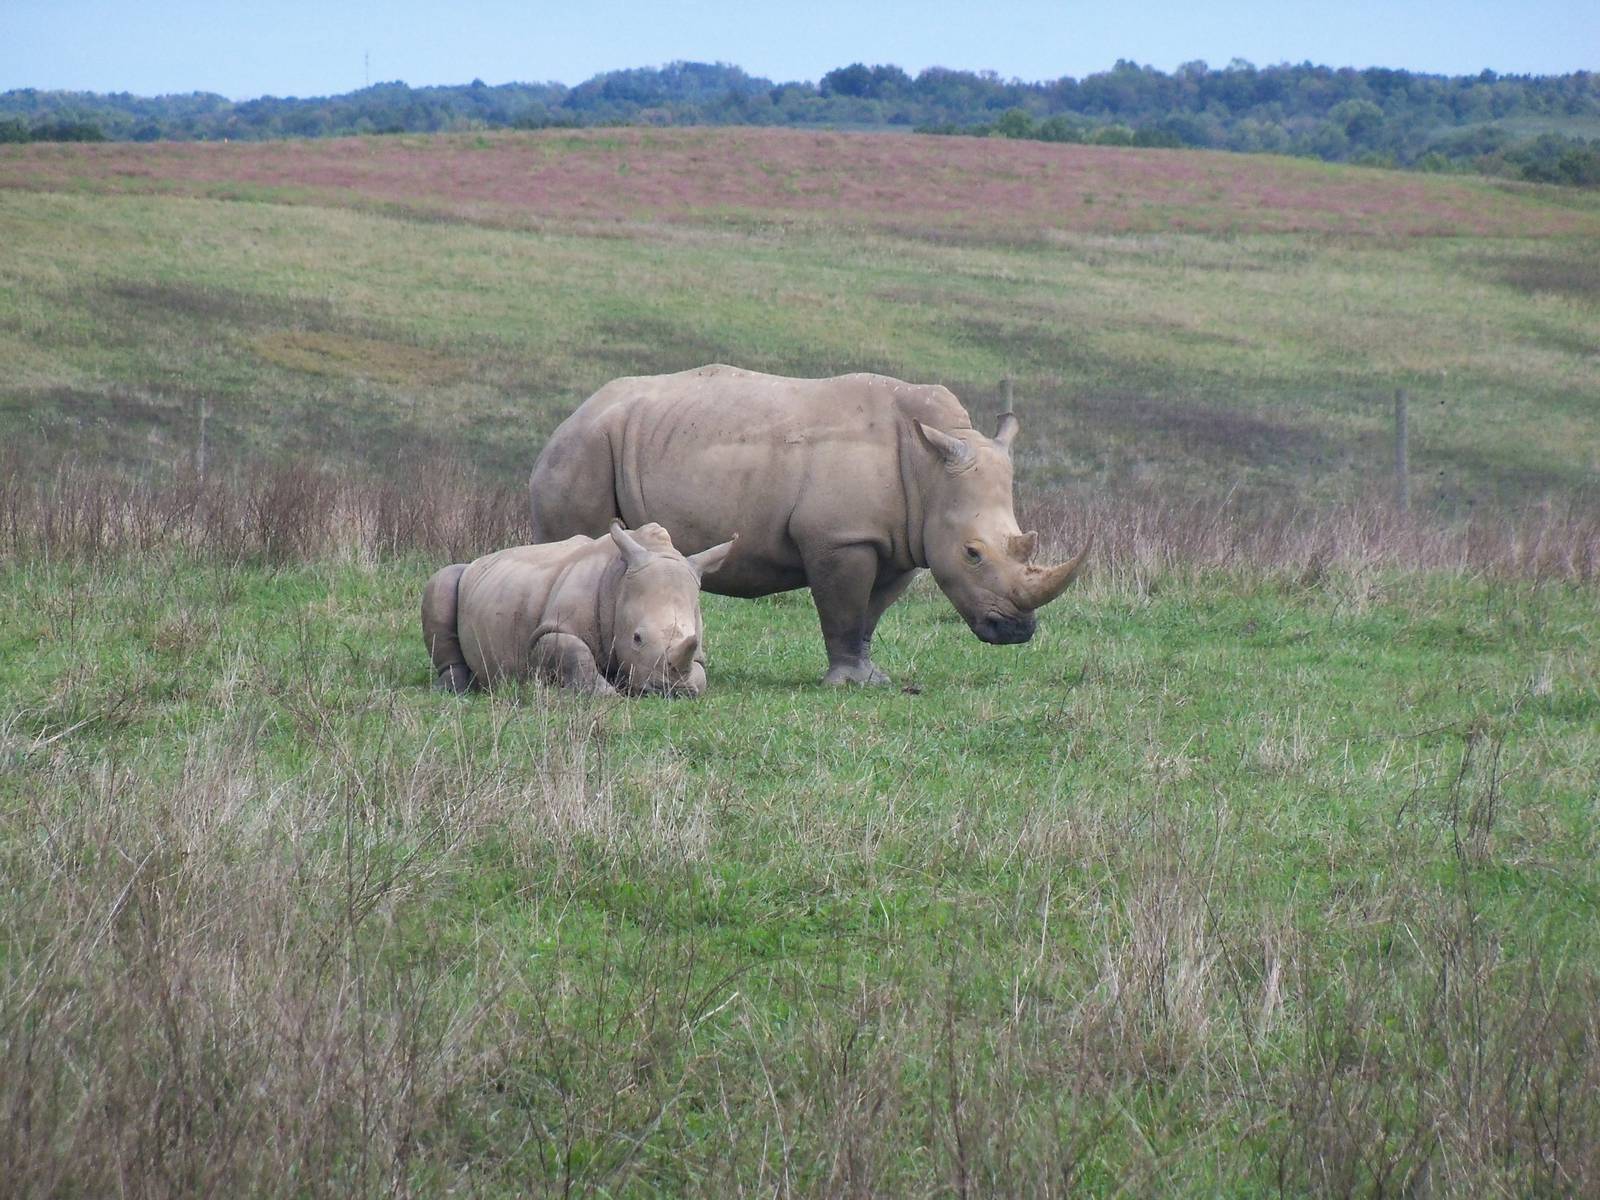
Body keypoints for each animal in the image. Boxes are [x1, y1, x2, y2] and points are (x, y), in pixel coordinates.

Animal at [421, 521, 736, 696]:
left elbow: (700, 674)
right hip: (460, 576)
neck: (618, 582)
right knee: (443, 581)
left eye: (693, 637)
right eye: (636, 638)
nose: (674, 692)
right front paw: (607, 695)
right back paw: (455, 689)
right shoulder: (549, 631)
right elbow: (574, 652)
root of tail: (482, 558)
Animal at [528, 365, 1089, 685]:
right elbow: (842, 610)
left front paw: (871, 679)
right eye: (972, 554)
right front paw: (845, 683)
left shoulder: (901, 540)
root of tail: (571, 417)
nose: (1016, 632)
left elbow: (870, 613)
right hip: (584, 450)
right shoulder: (841, 539)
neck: (929, 466)